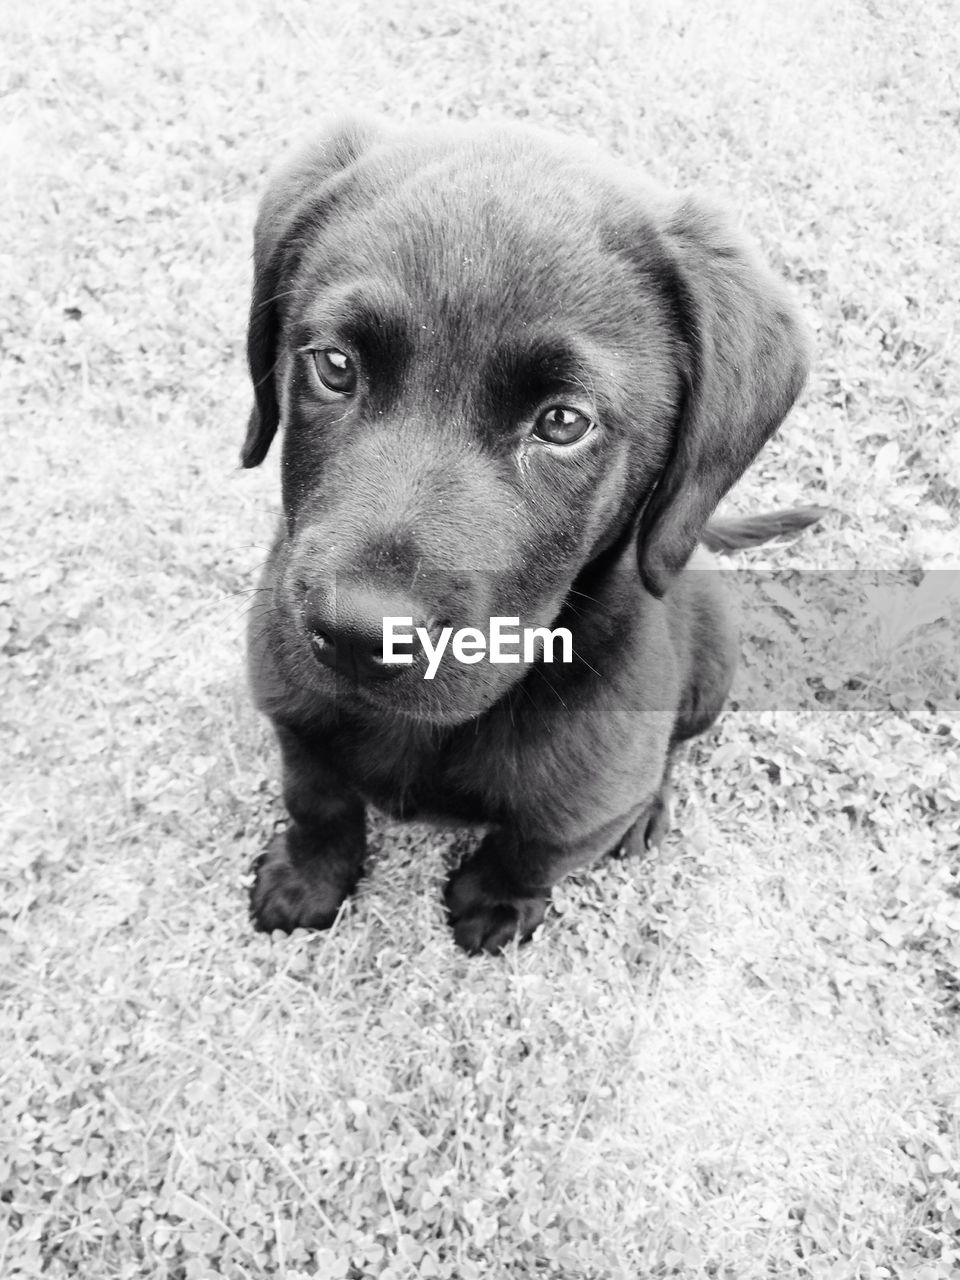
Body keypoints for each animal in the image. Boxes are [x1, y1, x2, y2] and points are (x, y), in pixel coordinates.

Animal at [241, 120, 819, 957]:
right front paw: (308, 876)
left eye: (564, 422)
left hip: (714, 657)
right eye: (336, 366)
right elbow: (317, 795)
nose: (356, 636)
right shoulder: (292, 708)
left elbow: (537, 846)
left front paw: (498, 904)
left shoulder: (587, 795)